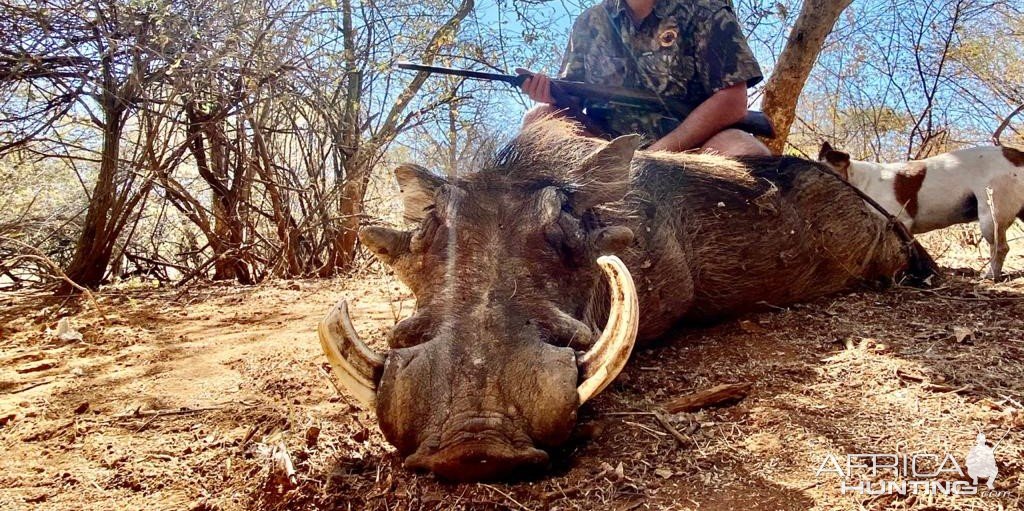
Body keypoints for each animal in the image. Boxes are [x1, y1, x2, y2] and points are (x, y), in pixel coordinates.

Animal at [819, 142, 1024, 280]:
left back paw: (990, 275)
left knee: (1000, 248)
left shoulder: (900, 221)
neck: (859, 180)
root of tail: (1016, 155)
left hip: (991, 216)